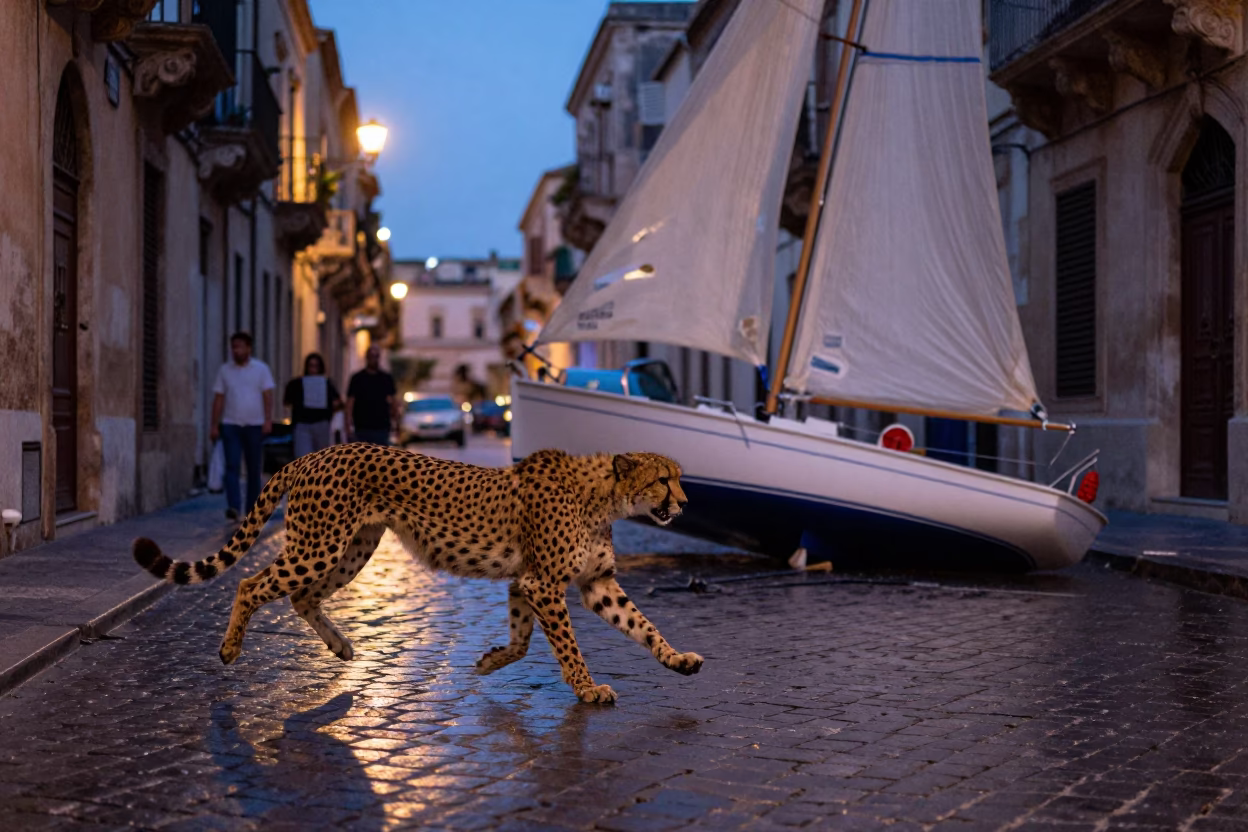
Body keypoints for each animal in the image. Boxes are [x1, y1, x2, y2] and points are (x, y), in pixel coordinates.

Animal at [132, 442, 703, 703]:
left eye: (679, 478)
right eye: (664, 480)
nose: (684, 503)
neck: (605, 498)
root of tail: (316, 453)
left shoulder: (576, 584)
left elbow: (639, 626)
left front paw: (678, 660)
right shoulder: (545, 584)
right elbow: (566, 645)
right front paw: (586, 688)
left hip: (352, 549)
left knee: (302, 597)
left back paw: (342, 647)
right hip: (319, 546)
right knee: (252, 584)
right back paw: (230, 648)